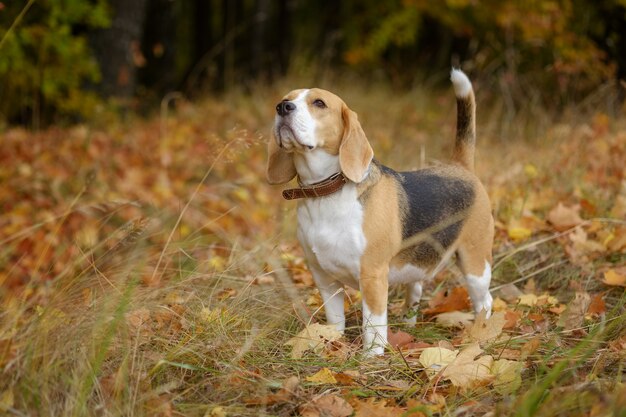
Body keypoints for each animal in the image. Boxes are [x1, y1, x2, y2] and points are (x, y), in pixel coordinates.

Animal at [266, 69, 492, 354]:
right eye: (287, 98)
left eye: (319, 103)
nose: (282, 107)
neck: (326, 194)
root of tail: (459, 166)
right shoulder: (324, 278)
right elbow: (335, 319)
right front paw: (334, 343)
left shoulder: (372, 276)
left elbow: (372, 325)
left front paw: (370, 356)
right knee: (415, 289)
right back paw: (408, 322)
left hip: (475, 264)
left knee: (485, 301)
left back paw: (482, 332)